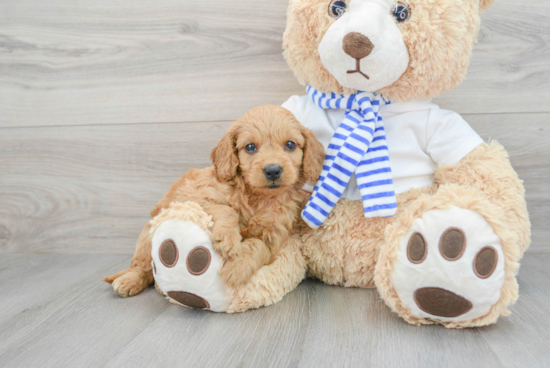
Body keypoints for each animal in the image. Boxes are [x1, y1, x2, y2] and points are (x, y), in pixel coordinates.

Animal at [105, 105, 326, 292]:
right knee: (143, 266)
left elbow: (258, 246)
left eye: (290, 145)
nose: (272, 170)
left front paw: (236, 269)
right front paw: (228, 239)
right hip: (146, 239)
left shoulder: (273, 234)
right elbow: (226, 209)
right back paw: (129, 280)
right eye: (250, 147)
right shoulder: (195, 197)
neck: (257, 197)